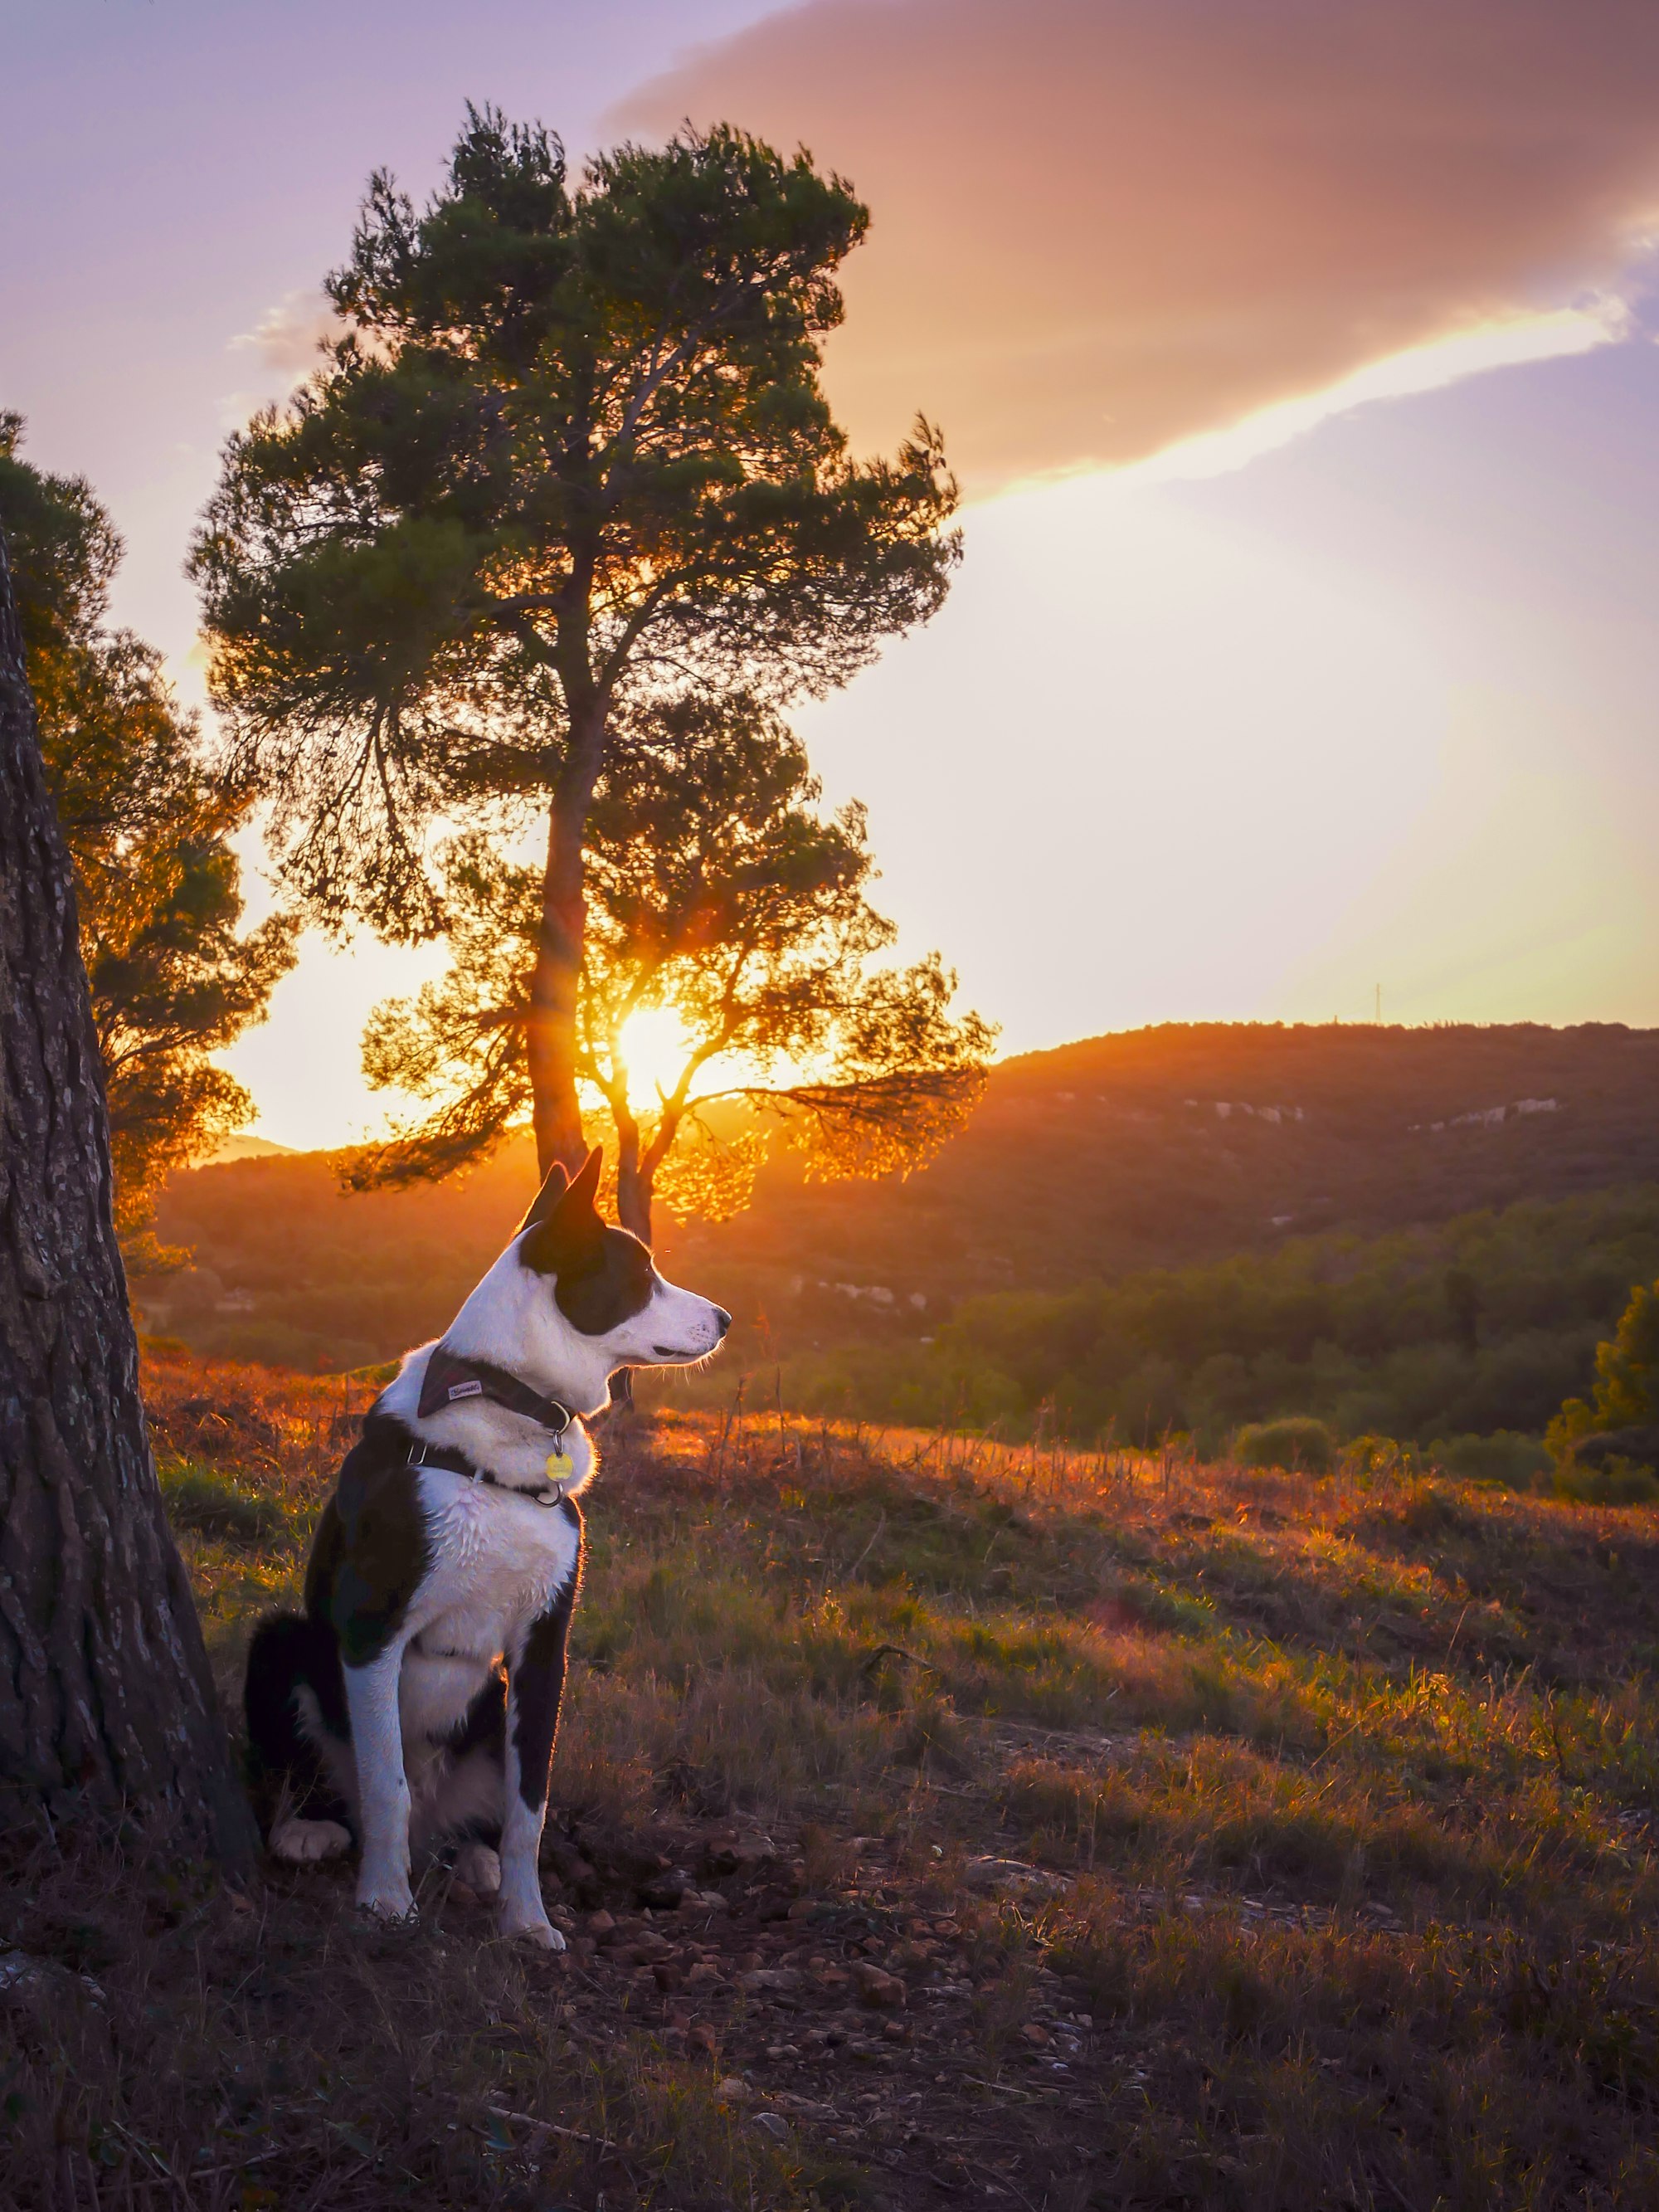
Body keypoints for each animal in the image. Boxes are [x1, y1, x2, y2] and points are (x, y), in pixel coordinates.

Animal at [242, 1150, 725, 1946]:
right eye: (641, 1274)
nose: (726, 1318)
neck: (506, 1401)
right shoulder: (373, 1630)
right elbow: (387, 1786)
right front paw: (385, 1901)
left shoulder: (542, 1651)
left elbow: (531, 1808)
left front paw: (527, 1922)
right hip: (284, 1642)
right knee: (329, 1781)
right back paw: (311, 1827)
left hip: (491, 1704)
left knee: (471, 1824)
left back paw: (473, 1858)